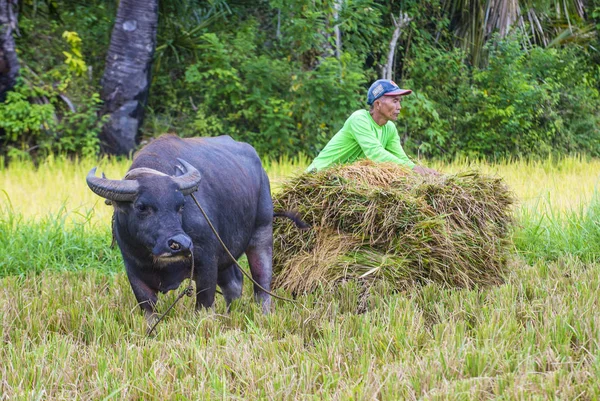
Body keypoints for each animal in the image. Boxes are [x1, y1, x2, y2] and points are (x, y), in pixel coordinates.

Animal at [86, 134, 302, 324]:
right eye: (141, 206)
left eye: (181, 205)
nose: (180, 244)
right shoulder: (134, 270)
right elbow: (149, 311)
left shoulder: (207, 261)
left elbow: (203, 306)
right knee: (233, 283)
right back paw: (230, 314)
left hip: (262, 231)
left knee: (261, 283)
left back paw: (263, 314)